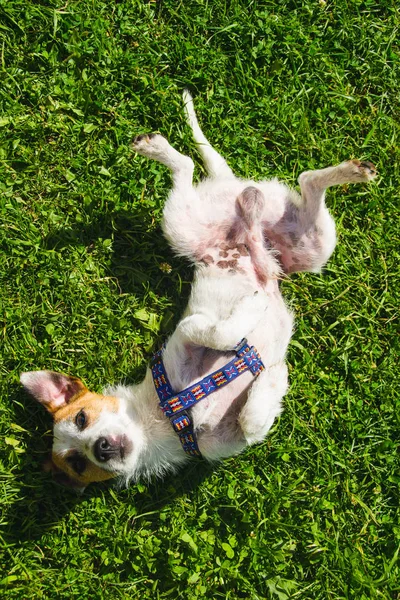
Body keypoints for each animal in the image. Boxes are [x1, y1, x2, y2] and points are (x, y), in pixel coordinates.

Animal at [19, 91, 376, 490]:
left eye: (82, 417)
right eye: (78, 463)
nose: (102, 448)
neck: (164, 417)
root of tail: (231, 188)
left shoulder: (186, 339)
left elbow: (212, 331)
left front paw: (252, 319)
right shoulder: (225, 444)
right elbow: (252, 421)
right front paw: (272, 379)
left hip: (180, 224)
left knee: (193, 166)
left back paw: (159, 150)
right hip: (310, 245)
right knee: (304, 185)